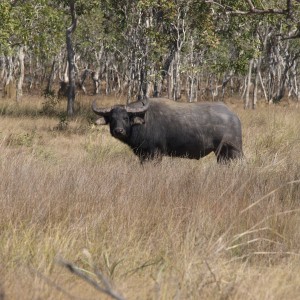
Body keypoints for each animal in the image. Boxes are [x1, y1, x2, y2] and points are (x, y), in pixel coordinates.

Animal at [92, 98, 244, 163]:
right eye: (112, 118)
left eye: (125, 117)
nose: (118, 131)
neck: (144, 121)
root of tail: (234, 116)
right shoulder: (143, 155)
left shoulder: (155, 154)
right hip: (222, 154)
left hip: (232, 151)